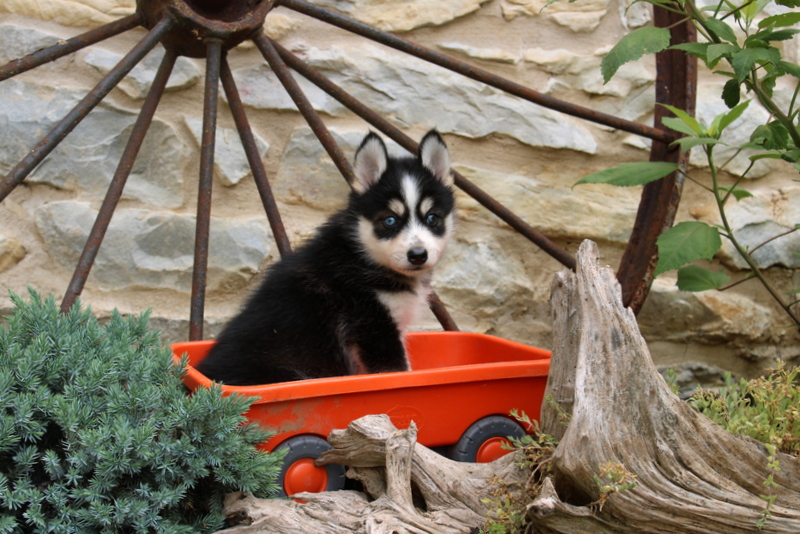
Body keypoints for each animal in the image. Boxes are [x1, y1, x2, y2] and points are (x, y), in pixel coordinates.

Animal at [196, 132, 454, 388]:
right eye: (390, 220)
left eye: (432, 218)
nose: (418, 255)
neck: (363, 256)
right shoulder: (373, 326)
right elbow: (397, 372)